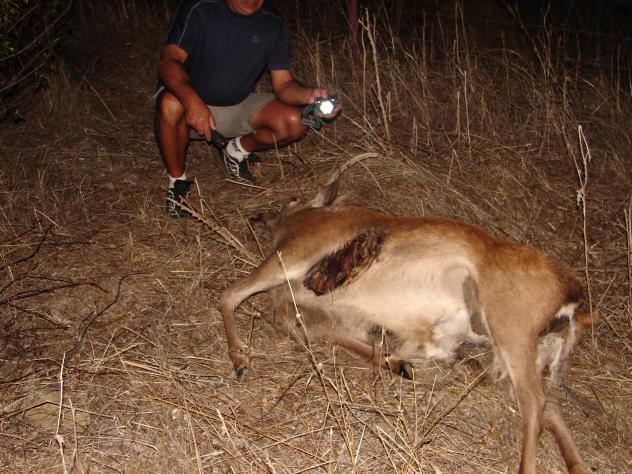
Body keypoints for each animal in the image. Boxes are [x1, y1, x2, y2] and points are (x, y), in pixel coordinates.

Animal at [218, 154, 596, 474]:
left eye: (291, 198)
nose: (257, 216)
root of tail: (573, 299)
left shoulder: (296, 254)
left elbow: (230, 295)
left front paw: (239, 358)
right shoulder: (330, 314)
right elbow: (328, 334)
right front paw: (397, 363)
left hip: (511, 330)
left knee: (535, 402)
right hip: (519, 354)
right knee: (551, 405)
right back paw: (579, 465)